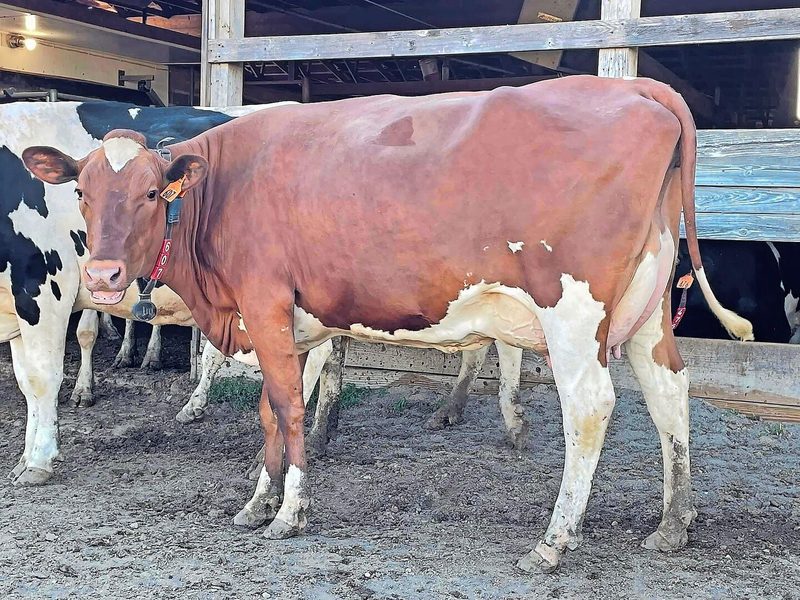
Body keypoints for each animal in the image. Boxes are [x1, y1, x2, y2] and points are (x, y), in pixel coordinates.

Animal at [1, 100, 525, 486]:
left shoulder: (45, 289)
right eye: (79, 193)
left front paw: (39, 461)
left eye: (152, 194)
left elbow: (47, 376)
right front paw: (29, 456)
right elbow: (28, 379)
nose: (104, 273)